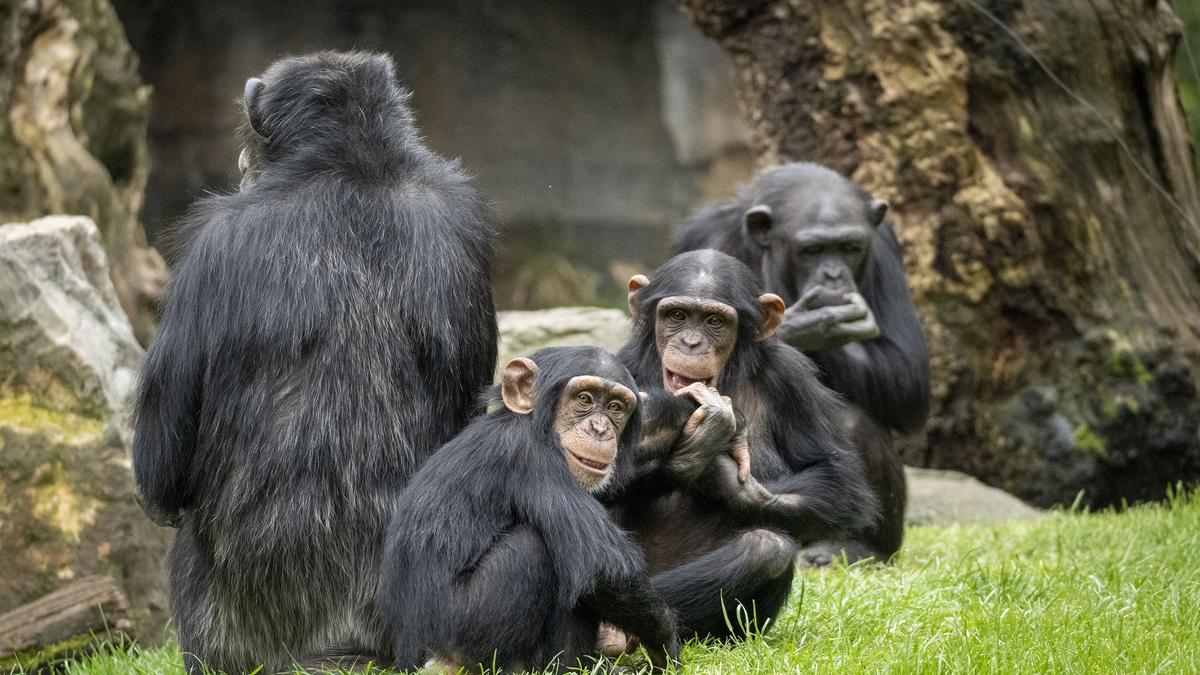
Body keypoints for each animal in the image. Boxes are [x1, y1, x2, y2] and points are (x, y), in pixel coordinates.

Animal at [126, 51, 492, 667]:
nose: (243, 159)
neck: (351, 160)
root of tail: (341, 650)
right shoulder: (467, 219)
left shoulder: (210, 243)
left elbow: (163, 445)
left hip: (234, 629)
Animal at [384, 348, 686, 667]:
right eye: (584, 399)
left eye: (615, 407)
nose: (600, 428)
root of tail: (408, 658)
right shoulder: (532, 458)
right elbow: (603, 566)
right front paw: (664, 641)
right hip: (459, 633)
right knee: (535, 547)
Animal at [609, 249, 883, 638]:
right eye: (677, 316)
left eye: (714, 321)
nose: (691, 343)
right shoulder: (620, 364)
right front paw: (697, 439)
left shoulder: (792, 377)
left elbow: (835, 476)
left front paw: (721, 473)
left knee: (768, 548)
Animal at [672, 163, 931, 562]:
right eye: (811, 250)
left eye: (851, 248)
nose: (833, 276)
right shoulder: (699, 236)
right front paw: (806, 322)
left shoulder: (884, 246)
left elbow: (907, 374)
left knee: (853, 423)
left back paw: (857, 546)